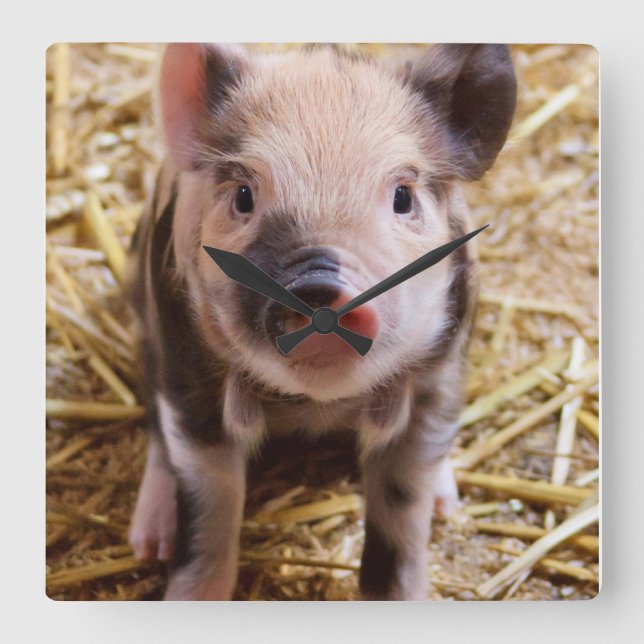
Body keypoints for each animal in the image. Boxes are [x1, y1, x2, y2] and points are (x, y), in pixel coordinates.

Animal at [126, 43, 516, 600]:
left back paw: (447, 505)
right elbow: (208, 514)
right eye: (243, 196)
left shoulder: (436, 381)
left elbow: (401, 520)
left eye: (403, 197)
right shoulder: (188, 376)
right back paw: (148, 543)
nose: (320, 286)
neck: (317, 405)